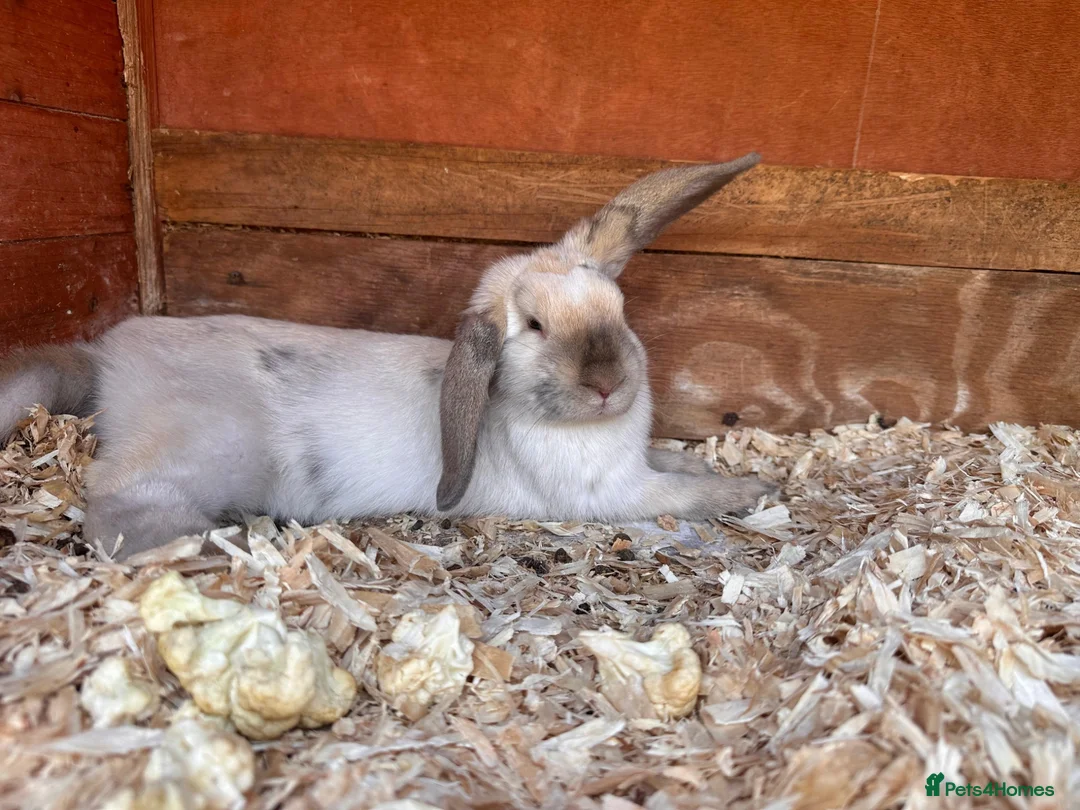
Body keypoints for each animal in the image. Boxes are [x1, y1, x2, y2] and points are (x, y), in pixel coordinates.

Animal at [0, 152, 777, 560]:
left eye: (617, 308)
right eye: (532, 326)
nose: (610, 383)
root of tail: (106, 361)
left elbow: (676, 464)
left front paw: (712, 465)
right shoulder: (614, 495)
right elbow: (684, 495)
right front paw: (752, 489)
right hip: (197, 449)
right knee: (115, 507)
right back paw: (216, 535)